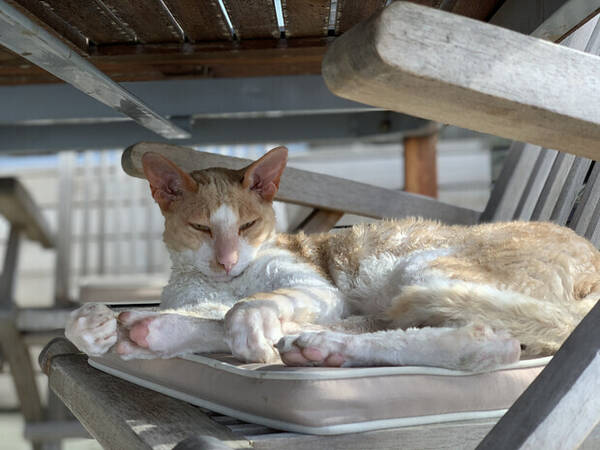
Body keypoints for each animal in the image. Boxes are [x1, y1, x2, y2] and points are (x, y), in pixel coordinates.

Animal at [63, 146, 596, 370]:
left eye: (247, 225)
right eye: (201, 228)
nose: (227, 260)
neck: (222, 282)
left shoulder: (315, 287)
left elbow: (248, 305)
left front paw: (247, 321)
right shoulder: (203, 295)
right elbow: (212, 310)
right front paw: (92, 328)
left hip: (424, 269)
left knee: (488, 341)